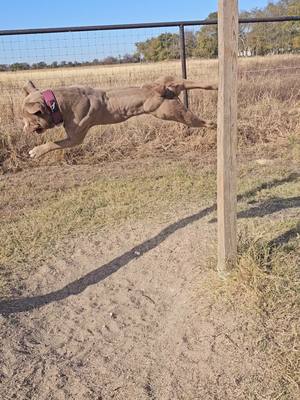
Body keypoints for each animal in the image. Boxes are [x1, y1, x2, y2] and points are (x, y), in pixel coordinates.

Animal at [22, 76, 217, 159]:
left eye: (28, 119)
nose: (23, 129)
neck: (56, 104)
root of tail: (159, 89)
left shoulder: (74, 139)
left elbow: (54, 144)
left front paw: (36, 151)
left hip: (173, 113)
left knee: (202, 122)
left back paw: (214, 125)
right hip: (170, 88)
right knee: (188, 81)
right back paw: (214, 85)